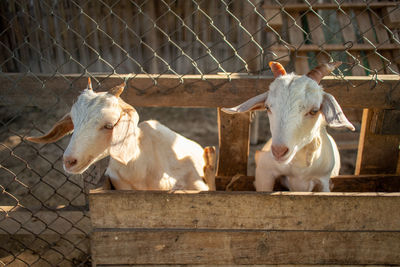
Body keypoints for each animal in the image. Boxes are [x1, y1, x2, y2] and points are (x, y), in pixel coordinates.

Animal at [223, 62, 354, 193]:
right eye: (267, 107)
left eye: (314, 111)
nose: (278, 152)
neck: (299, 168)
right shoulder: (264, 172)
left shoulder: (324, 181)